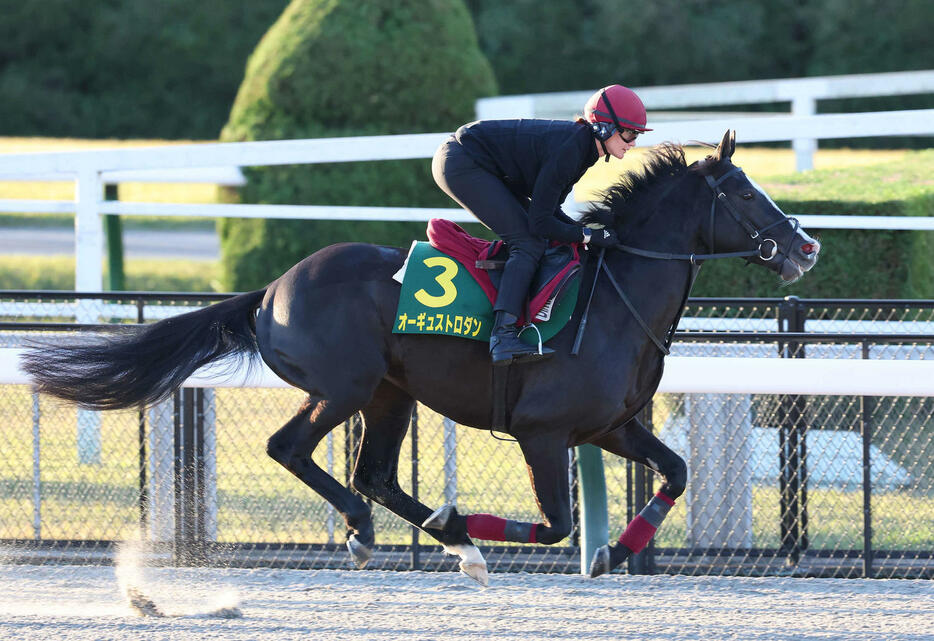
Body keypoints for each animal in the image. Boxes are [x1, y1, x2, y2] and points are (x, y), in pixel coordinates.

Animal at [22, 130, 820, 584]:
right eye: (743, 190)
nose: (806, 246)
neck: (615, 295)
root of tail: (273, 288)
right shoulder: (544, 432)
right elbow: (556, 524)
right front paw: (486, 530)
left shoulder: (610, 426)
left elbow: (675, 472)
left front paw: (615, 552)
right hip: (344, 387)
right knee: (295, 450)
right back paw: (395, 532)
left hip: (391, 394)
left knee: (374, 473)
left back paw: (440, 535)